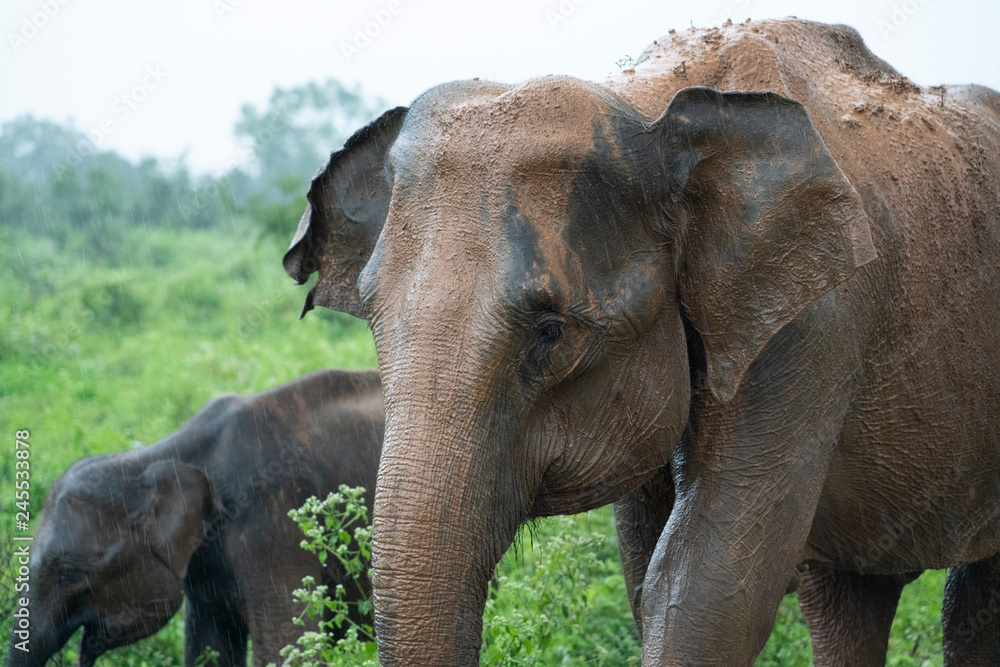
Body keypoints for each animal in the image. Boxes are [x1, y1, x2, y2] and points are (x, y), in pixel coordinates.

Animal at [283, 18, 1000, 667]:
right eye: (374, 319)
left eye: (550, 332)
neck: (644, 102)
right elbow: (645, 569)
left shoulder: (814, 322)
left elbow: (710, 586)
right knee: (853, 600)